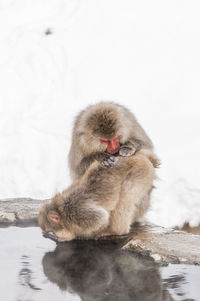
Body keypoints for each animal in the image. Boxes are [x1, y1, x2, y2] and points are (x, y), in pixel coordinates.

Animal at [38, 102, 159, 240]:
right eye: (105, 141)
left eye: (52, 231)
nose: (56, 238)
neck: (62, 211)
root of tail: (142, 159)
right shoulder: (79, 141)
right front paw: (100, 156)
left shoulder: (81, 215)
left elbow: (101, 218)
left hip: (140, 174)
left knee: (125, 198)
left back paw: (116, 231)